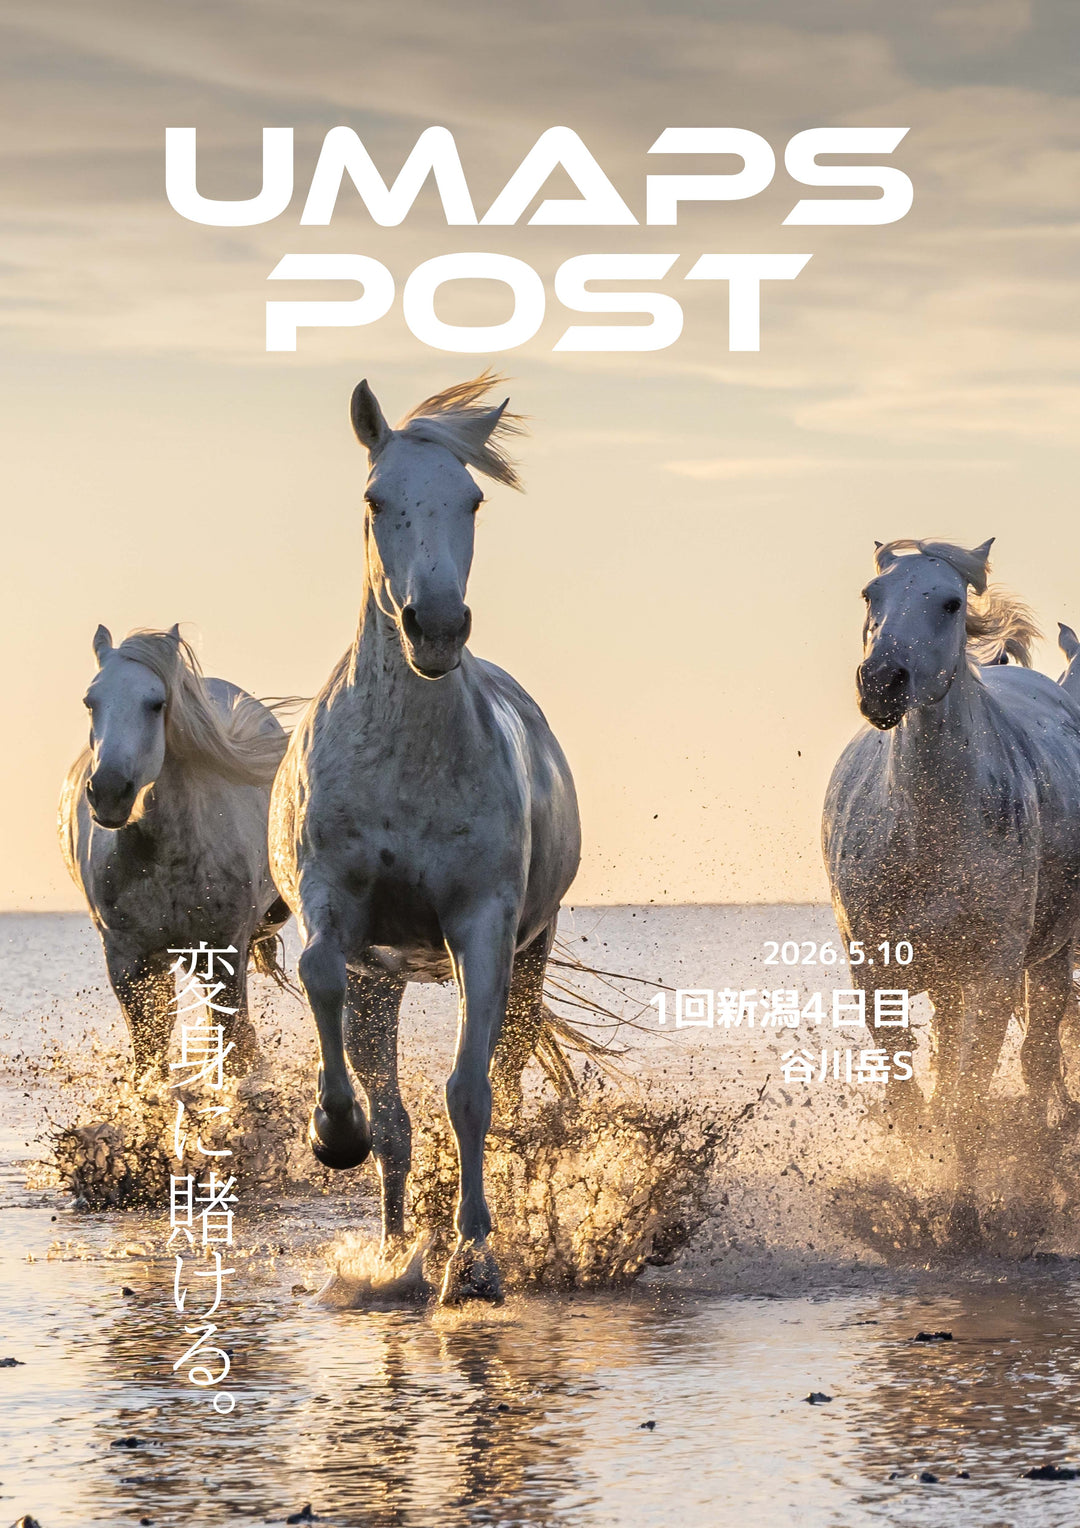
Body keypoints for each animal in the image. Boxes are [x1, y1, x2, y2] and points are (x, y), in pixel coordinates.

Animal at [59, 626, 291, 1076]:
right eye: (90, 702)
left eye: (156, 703)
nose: (108, 792)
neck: (161, 858)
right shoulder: (128, 959)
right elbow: (149, 1053)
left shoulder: (224, 951)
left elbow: (234, 1043)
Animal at [268, 373, 581, 1305]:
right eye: (377, 499)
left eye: (472, 500)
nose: (435, 627)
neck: (407, 761)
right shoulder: (335, 906)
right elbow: (320, 976)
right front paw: (332, 1129)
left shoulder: (482, 925)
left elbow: (471, 1093)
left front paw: (474, 1260)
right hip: (385, 982)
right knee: (395, 1122)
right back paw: (394, 1248)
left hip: (530, 955)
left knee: (500, 1086)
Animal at [823, 539, 1080, 1241]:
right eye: (870, 595)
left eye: (949, 602)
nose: (881, 683)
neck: (927, 831)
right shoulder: (876, 968)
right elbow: (911, 1088)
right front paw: (913, 1189)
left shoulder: (995, 973)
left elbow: (969, 1094)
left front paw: (960, 1210)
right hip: (947, 978)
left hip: (1048, 958)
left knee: (1039, 1059)